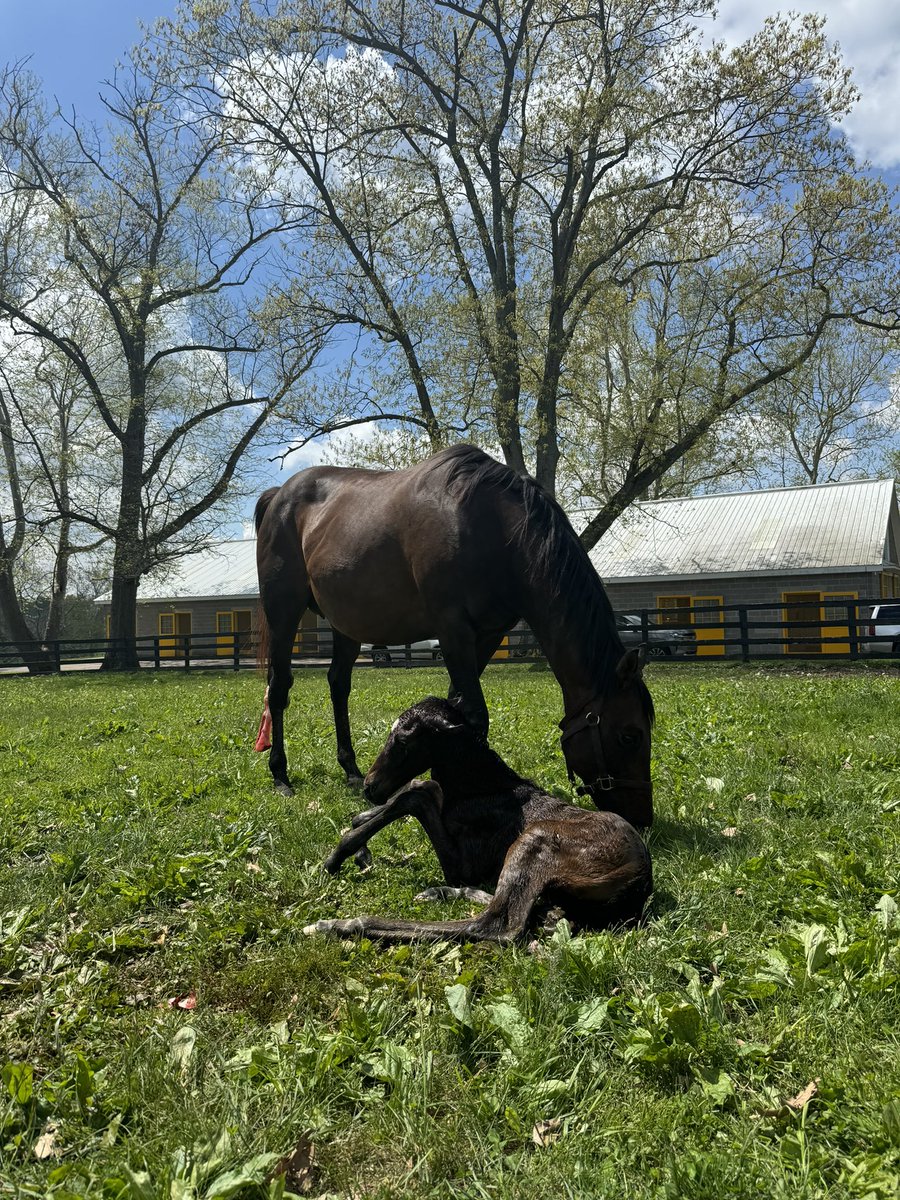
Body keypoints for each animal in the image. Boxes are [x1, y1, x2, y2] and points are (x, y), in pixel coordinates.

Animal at [254, 443, 655, 826]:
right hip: (283, 613)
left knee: (338, 684)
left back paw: (350, 769)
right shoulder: (452, 630)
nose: (642, 818)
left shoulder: (488, 635)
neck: (492, 529)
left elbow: (453, 708)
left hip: (346, 625)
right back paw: (280, 776)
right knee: (280, 687)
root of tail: (278, 496)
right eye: (629, 735)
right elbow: (474, 714)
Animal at [304, 696, 652, 945]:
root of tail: (638, 882)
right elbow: (420, 789)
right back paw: (439, 893)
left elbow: (416, 793)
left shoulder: (463, 864)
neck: (480, 786)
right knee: (529, 909)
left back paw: (337, 924)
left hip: (535, 840)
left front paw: (339, 854)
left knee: (497, 924)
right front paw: (360, 843)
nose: (369, 786)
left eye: (402, 740)